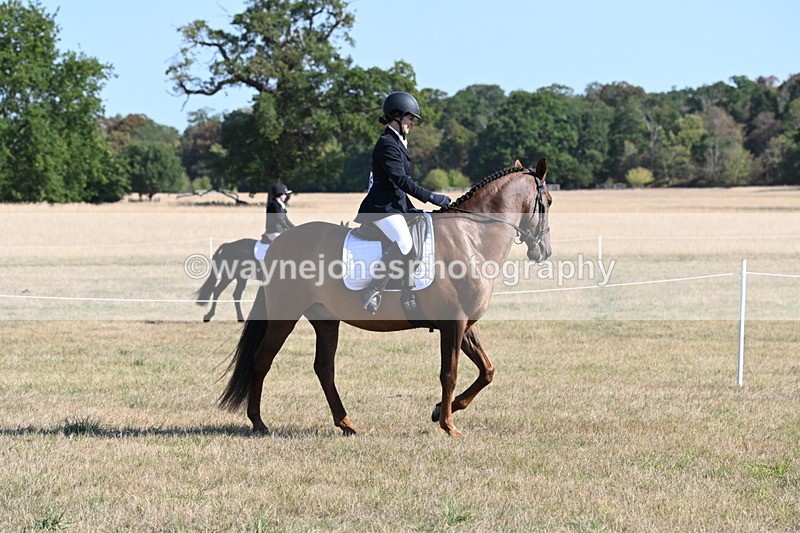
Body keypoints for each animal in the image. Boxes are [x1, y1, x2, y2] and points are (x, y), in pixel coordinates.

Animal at [218, 159, 552, 436]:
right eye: (547, 201)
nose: (544, 251)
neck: (472, 238)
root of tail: (279, 244)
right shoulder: (453, 323)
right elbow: (449, 373)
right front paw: (448, 425)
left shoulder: (465, 325)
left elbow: (487, 371)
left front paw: (439, 412)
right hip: (284, 315)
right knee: (262, 359)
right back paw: (259, 422)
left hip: (325, 319)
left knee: (324, 368)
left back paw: (346, 424)